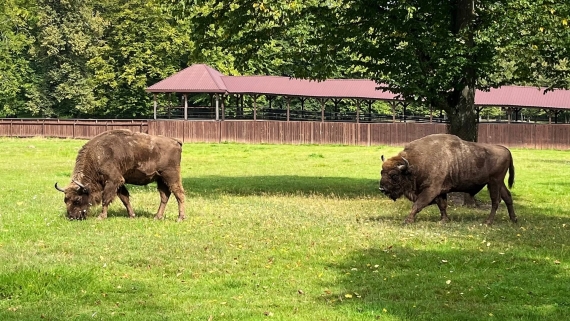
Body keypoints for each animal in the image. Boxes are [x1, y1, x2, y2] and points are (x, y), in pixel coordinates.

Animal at [54, 128, 185, 220]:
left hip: (171, 176)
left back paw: (180, 218)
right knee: (164, 196)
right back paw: (157, 217)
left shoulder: (113, 180)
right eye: (65, 200)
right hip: (160, 179)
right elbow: (125, 198)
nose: (72, 217)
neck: (97, 155)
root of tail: (176, 141)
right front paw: (132, 215)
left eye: (77, 199)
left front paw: (101, 217)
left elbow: (106, 198)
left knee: (179, 194)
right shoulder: (119, 182)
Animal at [378, 132, 516, 222]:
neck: (414, 165)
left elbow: (418, 204)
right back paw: (513, 219)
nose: (382, 189)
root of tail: (506, 150)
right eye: (381, 172)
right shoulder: (441, 191)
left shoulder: (431, 190)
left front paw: (408, 220)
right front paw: (444, 220)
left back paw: (488, 222)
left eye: (394, 175)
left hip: (494, 182)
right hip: (499, 182)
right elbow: (442, 205)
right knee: (507, 197)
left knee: (496, 200)